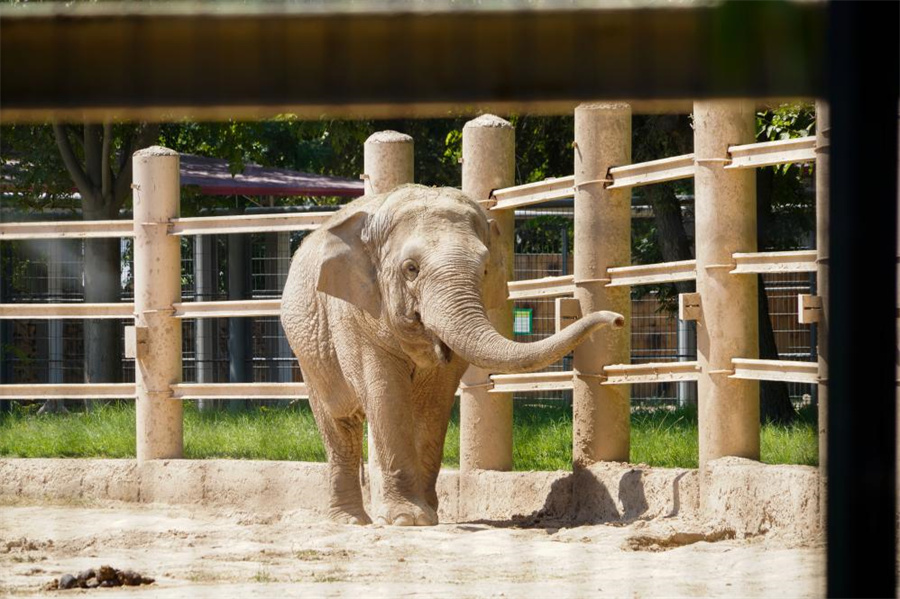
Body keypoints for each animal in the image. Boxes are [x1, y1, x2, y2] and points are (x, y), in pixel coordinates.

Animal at [282, 185, 624, 528]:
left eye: (484, 270)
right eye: (411, 269)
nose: (619, 320)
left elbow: (436, 400)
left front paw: (428, 516)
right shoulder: (355, 313)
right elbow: (386, 394)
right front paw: (407, 519)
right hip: (309, 351)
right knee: (339, 423)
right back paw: (350, 520)